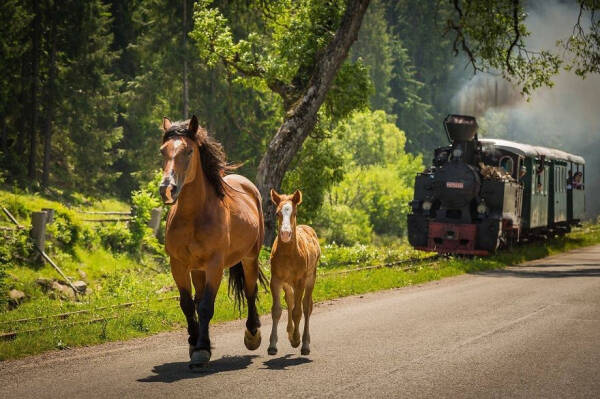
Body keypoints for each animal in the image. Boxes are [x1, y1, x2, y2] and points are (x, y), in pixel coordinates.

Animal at [159, 115, 264, 368]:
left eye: (188, 151)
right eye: (162, 151)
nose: (167, 189)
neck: (194, 216)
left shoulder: (215, 265)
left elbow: (207, 306)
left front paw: (201, 351)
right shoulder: (178, 264)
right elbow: (188, 304)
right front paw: (195, 342)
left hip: (250, 257)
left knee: (250, 291)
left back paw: (252, 334)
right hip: (197, 269)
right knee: (197, 300)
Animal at [268, 191, 322, 356]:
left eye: (295, 213)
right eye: (277, 213)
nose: (285, 234)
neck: (288, 255)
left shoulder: (300, 281)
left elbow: (298, 311)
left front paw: (297, 339)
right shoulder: (276, 280)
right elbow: (277, 310)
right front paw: (272, 345)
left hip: (310, 279)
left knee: (306, 306)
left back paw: (304, 343)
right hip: (287, 284)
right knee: (290, 301)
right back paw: (290, 334)